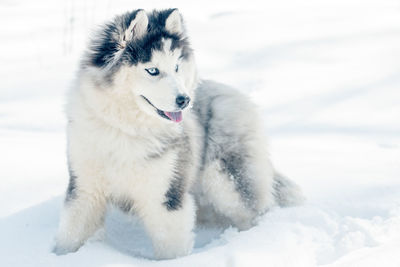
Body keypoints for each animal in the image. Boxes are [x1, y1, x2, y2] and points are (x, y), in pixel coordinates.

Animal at [54, 8, 304, 260]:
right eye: (152, 70)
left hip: (226, 179)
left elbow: (170, 245)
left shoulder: (166, 196)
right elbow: (72, 234)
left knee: (255, 210)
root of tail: (232, 93)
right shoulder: (85, 190)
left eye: (176, 67)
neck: (127, 129)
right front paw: (60, 255)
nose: (185, 100)